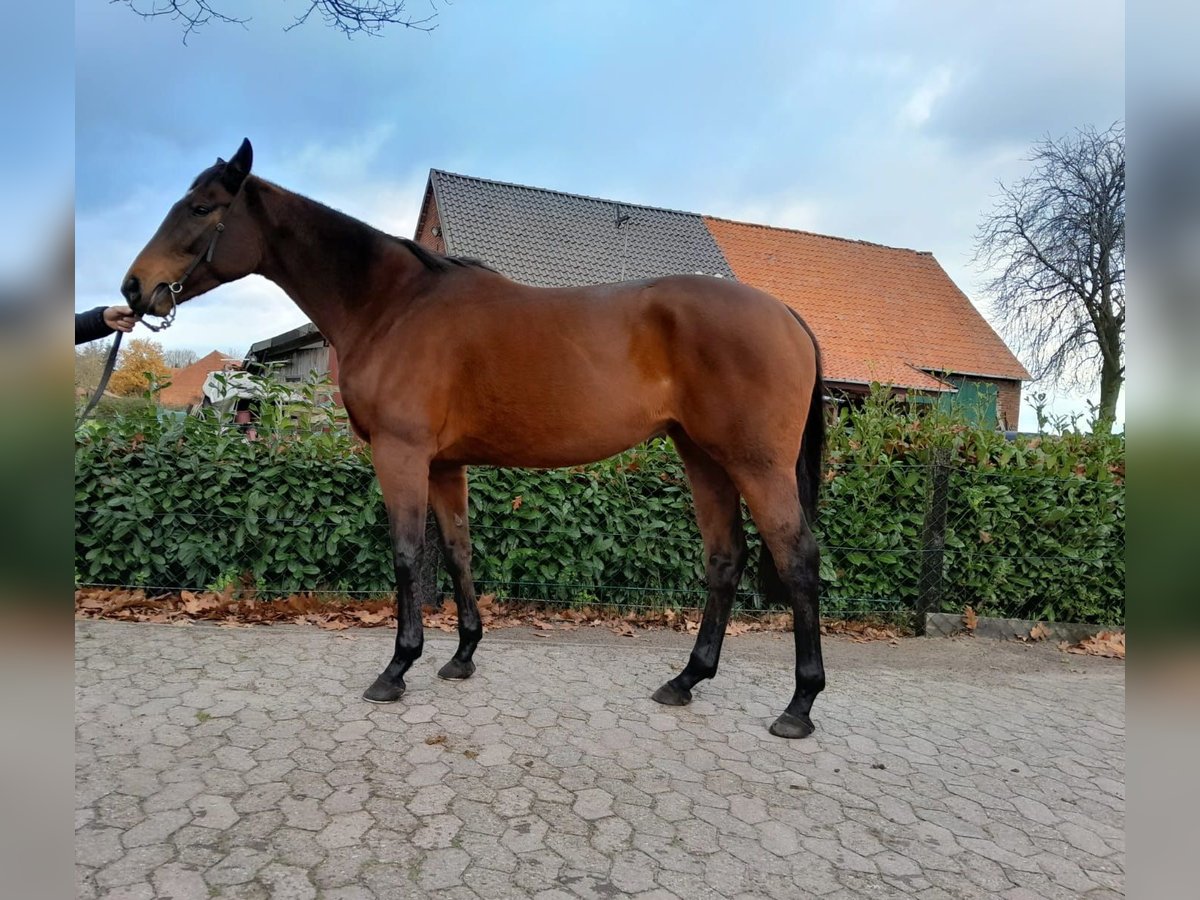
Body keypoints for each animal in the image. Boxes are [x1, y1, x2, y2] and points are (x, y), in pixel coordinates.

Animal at [124, 137, 835, 734]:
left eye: (201, 207)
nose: (134, 288)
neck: (394, 306)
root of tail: (787, 314)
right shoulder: (444, 465)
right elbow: (458, 550)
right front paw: (462, 654)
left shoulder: (401, 454)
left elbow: (409, 553)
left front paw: (396, 668)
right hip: (703, 457)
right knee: (724, 559)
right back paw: (686, 679)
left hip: (755, 464)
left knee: (798, 558)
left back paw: (799, 704)